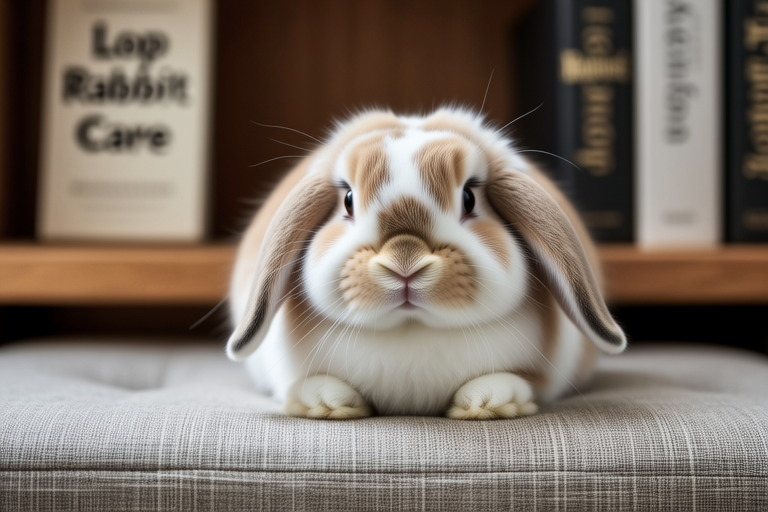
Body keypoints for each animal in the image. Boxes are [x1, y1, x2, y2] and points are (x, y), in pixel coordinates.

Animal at [226, 107, 626, 420]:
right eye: (348, 200)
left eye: (469, 198)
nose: (405, 260)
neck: (411, 329)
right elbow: (309, 384)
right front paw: (326, 402)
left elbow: (514, 380)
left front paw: (488, 401)